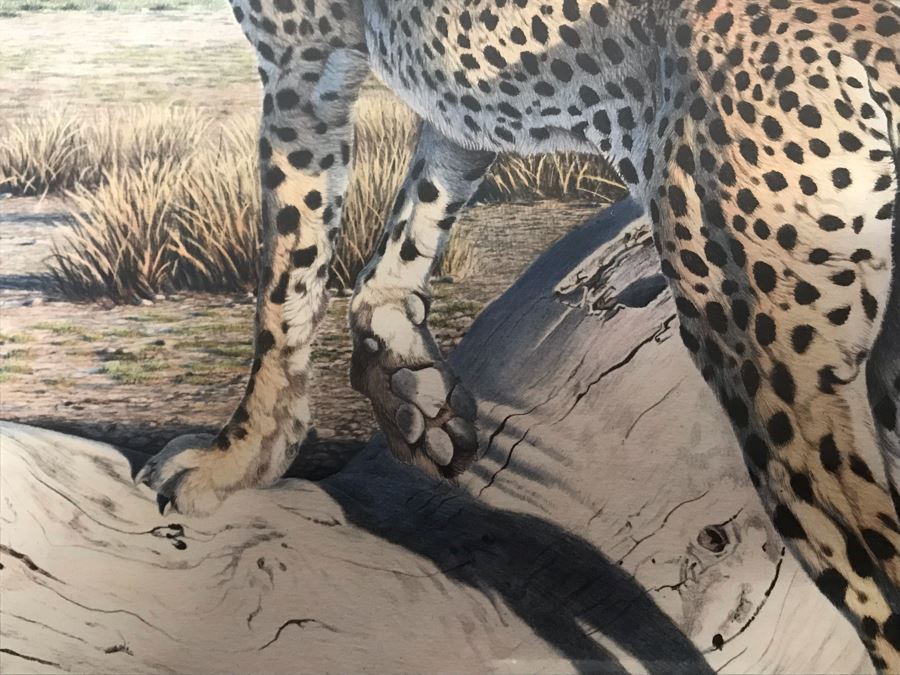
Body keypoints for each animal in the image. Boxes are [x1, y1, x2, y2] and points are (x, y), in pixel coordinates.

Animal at [135, 0, 900, 667]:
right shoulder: (447, 95)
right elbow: (406, 230)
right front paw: (411, 390)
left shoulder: (302, 62)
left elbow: (286, 284)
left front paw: (238, 458)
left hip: (763, 358)